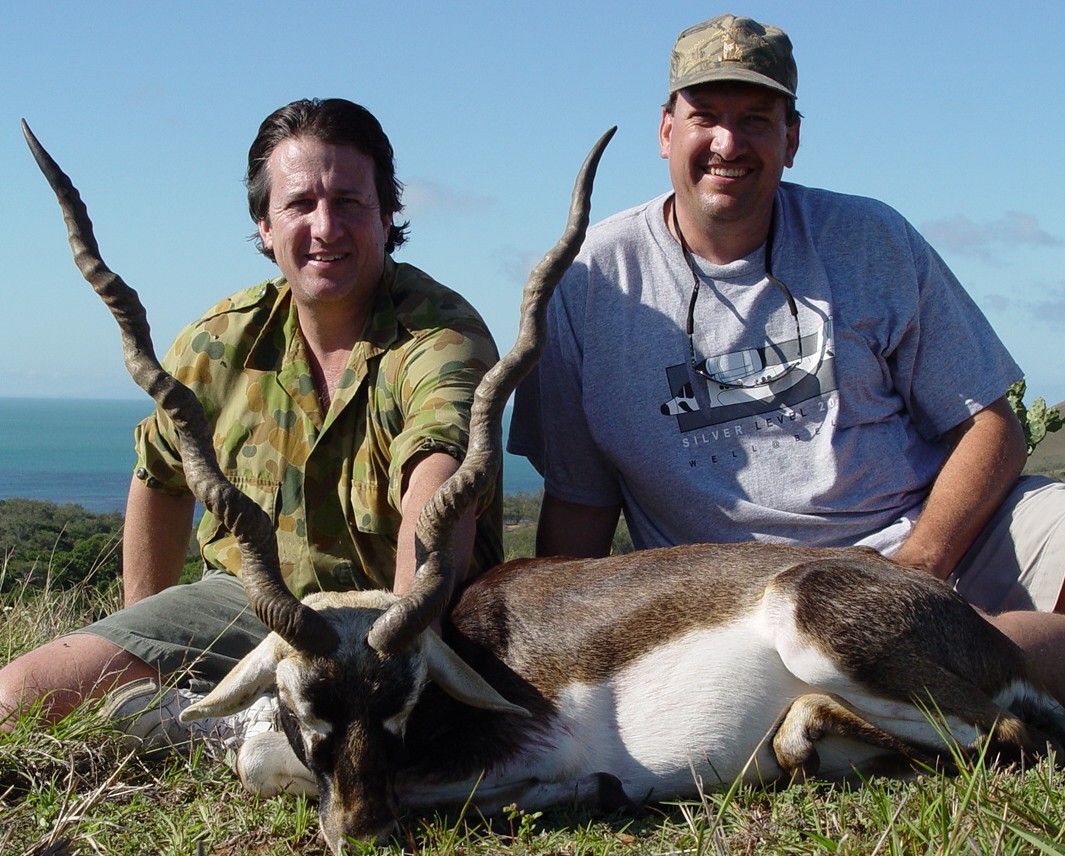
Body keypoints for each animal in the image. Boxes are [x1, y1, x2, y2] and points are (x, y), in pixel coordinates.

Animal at [22, 118, 1065, 847]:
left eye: (401, 707)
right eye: (305, 706)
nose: (365, 832)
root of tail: (970, 628)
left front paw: (576, 789)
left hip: (827, 636)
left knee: (998, 740)